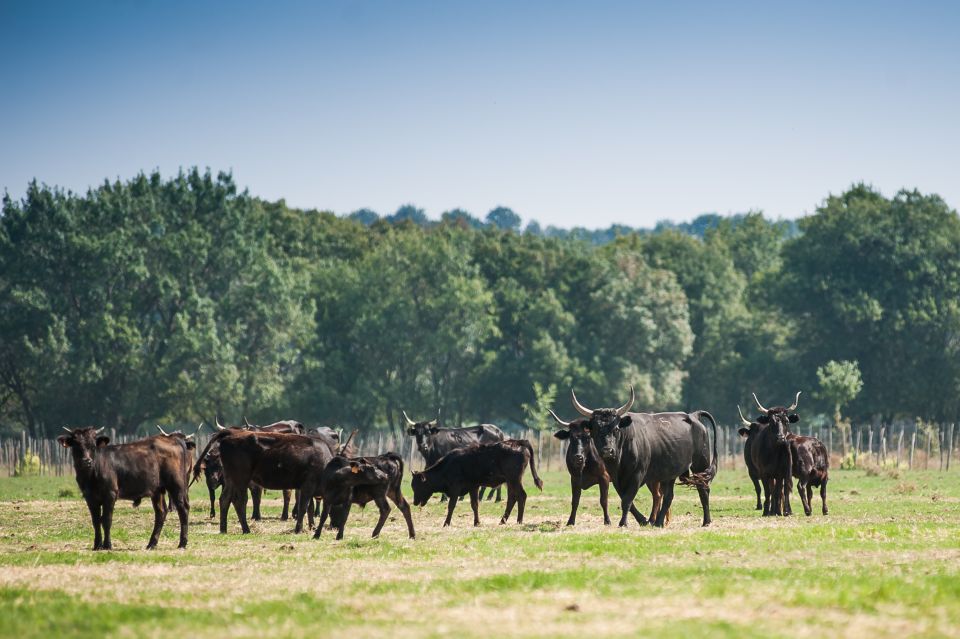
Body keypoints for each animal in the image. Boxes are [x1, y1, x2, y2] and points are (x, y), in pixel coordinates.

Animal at [56, 430, 193, 552]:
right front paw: (97, 545)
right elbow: (96, 521)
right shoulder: (90, 497)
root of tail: (172, 438)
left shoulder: (110, 495)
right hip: (157, 490)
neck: (91, 474)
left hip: (177, 485)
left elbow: (106, 520)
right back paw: (151, 544)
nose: (87, 461)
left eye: (93, 446)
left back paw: (182, 543)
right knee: (161, 512)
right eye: (76, 445)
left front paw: (107, 545)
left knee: (183, 509)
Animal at [191, 430, 334, 536]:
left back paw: (223, 529)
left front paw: (310, 527)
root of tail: (232, 433)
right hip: (241, 479)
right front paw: (298, 530)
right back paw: (246, 529)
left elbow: (309, 508)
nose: (334, 527)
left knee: (224, 499)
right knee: (239, 501)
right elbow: (303, 507)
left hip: (230, 479)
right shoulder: (307, 486)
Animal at [406, 442, 544, 528]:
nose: (415, 502)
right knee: (512, 498)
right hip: (509, 482)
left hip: (514, 480)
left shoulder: (455, 488)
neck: (449, 466)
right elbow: (475, 505)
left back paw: (519, 521)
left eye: (418, 486)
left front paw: (446, 523)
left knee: (521, 496)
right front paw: (477, 522)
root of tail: (519, 443)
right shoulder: (473, 486)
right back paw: (503, 521)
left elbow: (451, 506)